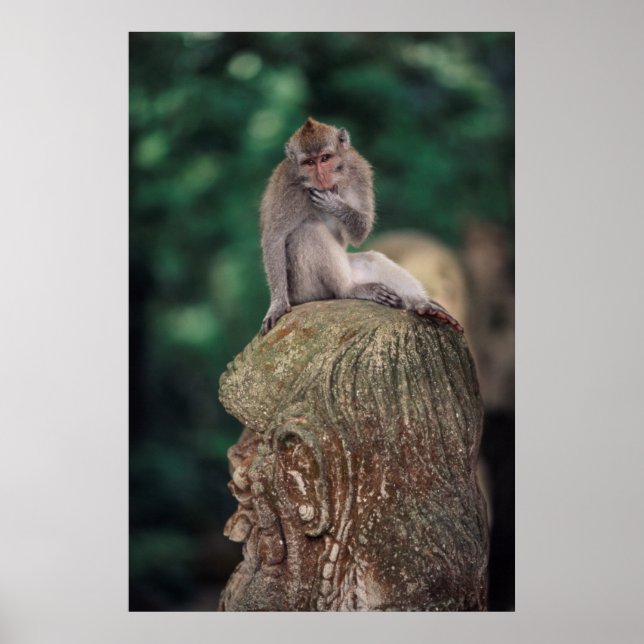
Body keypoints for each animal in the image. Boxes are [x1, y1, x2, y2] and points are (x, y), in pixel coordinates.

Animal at [259, 117, 462, 336]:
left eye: (325, 158)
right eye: (309, 163)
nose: (321, 177)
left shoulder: (359, 170)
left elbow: (360, 231)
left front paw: (335, 204)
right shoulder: (287, 187)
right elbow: (274, 238)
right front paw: (278, 304)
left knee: (372, 260)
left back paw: (422, 304)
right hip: (305, 290)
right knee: (308, 231)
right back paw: (348, 289)